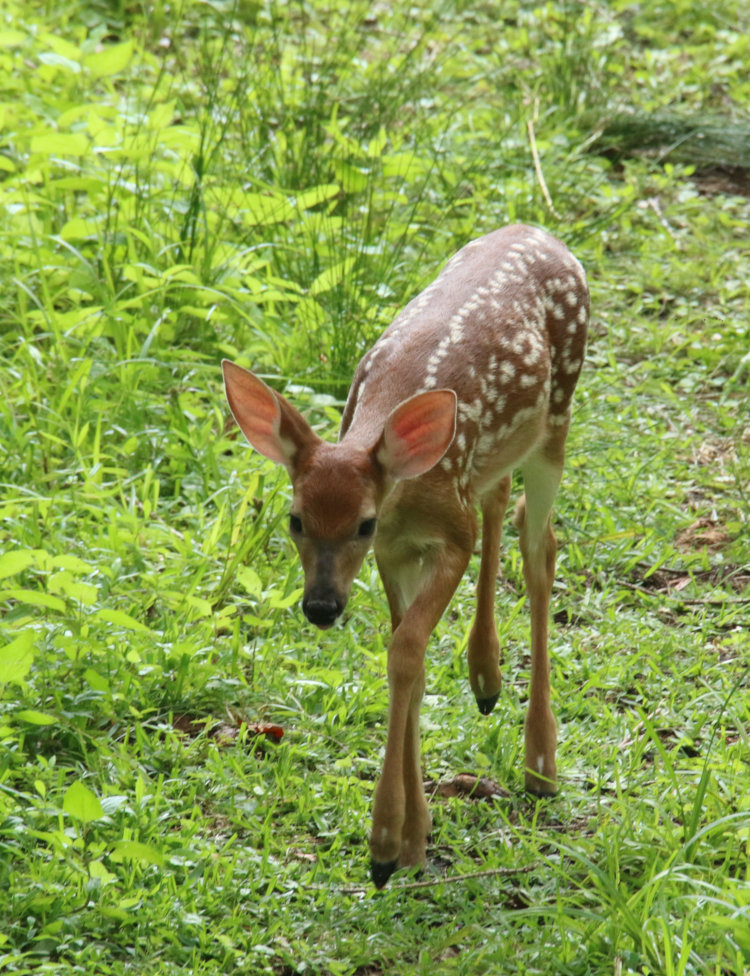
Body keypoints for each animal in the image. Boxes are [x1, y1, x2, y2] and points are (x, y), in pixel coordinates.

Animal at [222, 223, 589, 888]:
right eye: (295, 520)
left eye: (363, 523)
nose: (320, 606)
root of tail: (536, 230)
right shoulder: (396, 554)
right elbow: (407, 661)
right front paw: (416, 838)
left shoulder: (448, 537)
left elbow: (407, 651)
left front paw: (386, 845)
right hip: (498, 455)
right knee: (501, 499)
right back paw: (486, 676)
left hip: (559, 416)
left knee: (539, 546)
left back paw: (541, 762)